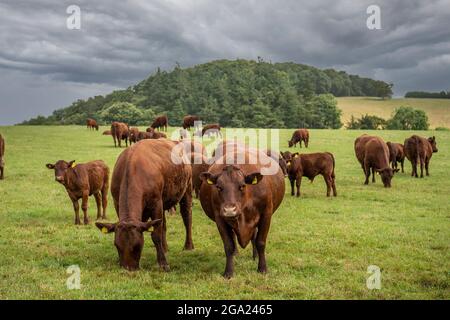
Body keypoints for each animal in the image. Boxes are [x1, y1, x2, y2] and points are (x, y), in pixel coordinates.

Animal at [95, 139, 193, 270]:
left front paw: (163, 263)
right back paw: (165, 248)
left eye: (137, 246)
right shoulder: (117, 203)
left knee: (187, 217)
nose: (128, 268)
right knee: (163, 224)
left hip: (187, 189)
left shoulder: (156, 203)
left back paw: (188, 246)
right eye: (117, 246)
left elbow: (156, 235)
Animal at [199, 150, 284, 278]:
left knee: (254, 237)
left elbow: (260, 242)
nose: (229, 210)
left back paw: (255, 256)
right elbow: (228, 245)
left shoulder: (266, 215)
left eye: (242, 186)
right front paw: (228, 272)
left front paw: (262, 268)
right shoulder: (220, 219)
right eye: (219, 187)